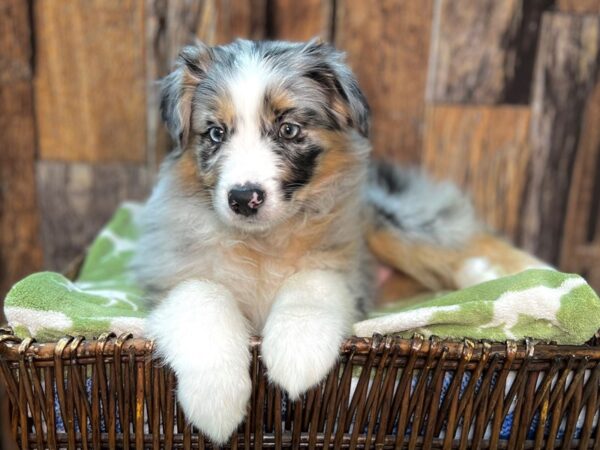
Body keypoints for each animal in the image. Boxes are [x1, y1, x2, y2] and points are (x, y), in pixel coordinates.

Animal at [131, 38, 544, 442]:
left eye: (288, 130)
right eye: (216, 133)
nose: (243, 198)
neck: (264, 242)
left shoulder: (344, 265)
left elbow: (309, 283)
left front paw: (296, 353)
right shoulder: (170, 269)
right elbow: (201, 294)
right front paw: (215, 400)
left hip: (387, 218)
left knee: (462, 241)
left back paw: (515, 278)